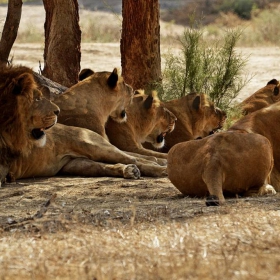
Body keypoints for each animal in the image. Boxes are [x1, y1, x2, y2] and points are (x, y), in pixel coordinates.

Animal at [0, 66, 166, 186]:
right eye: (124, 83)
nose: (132, 89)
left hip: (95, 146)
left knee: (133, 159)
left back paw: (157, 168)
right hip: (79, 162)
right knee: (112, 164)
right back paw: (134, 170)